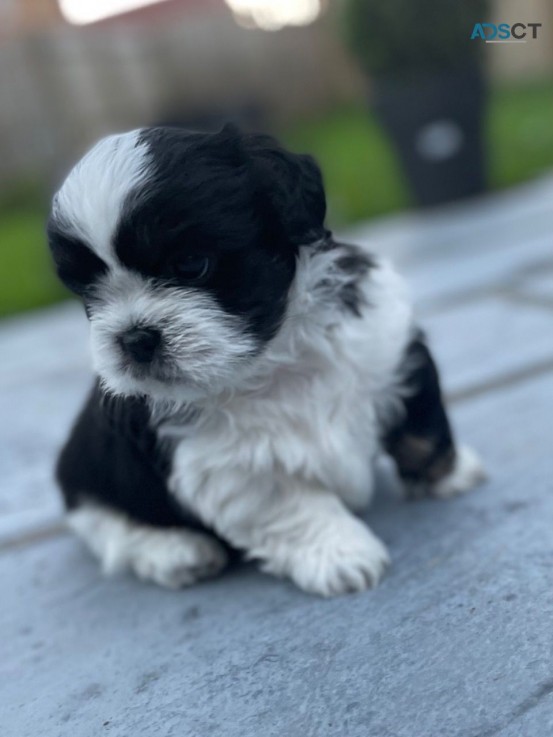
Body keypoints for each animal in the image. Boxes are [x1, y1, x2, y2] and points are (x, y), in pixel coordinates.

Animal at [47, 125, 484, 600]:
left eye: (191, 264)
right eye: (89, 294)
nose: (133, 337)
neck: (271, 362)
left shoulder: (389, 347)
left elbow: (421, 424)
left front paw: (448, 473)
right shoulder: (229, 467)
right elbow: (294, 505)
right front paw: (341, 554)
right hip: (90, 478)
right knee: (111, 527)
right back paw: (176, 551)